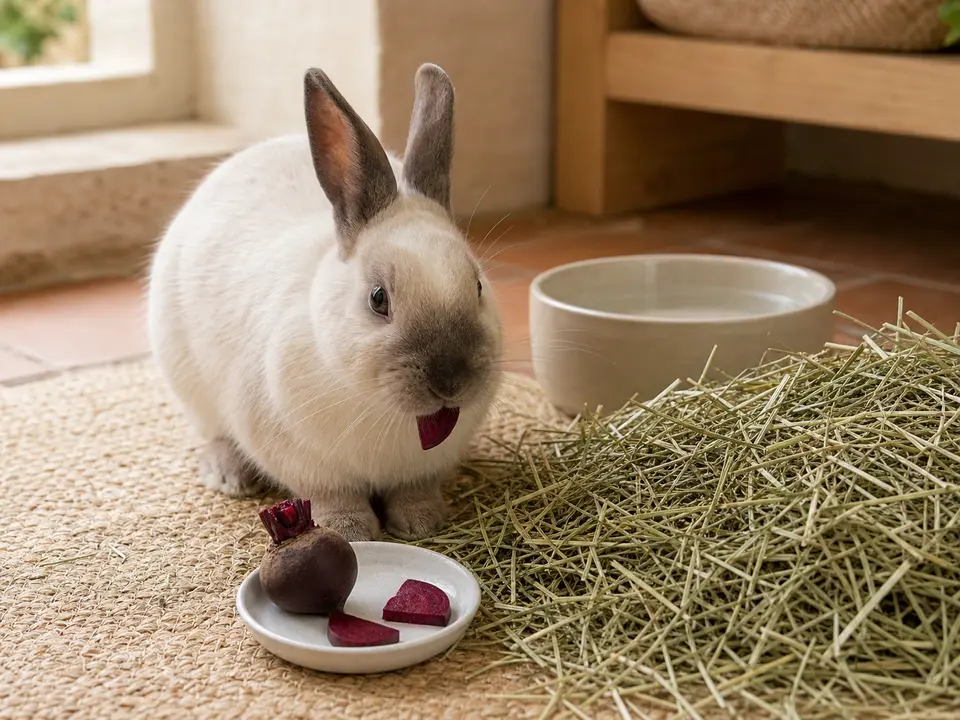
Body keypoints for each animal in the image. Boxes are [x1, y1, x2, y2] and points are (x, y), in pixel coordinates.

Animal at [147, 63, 502, 542]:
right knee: (215, 433)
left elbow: (413, 490)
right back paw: (228, 475)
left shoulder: (422, 470)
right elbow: (332, 496)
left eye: (478, 285)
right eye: (378, 299)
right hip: (189, 384)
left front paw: (421, 522)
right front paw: (351, 530)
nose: (450, 382)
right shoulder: (304, 462)